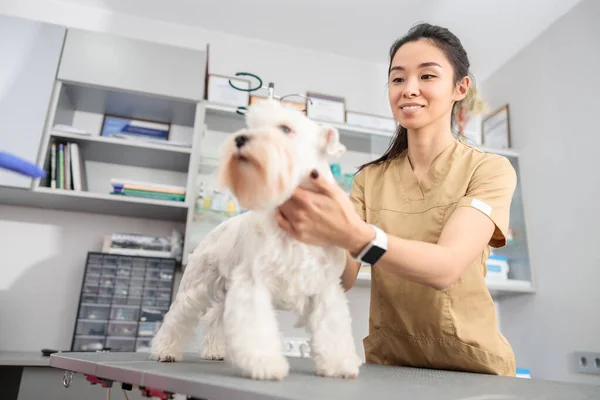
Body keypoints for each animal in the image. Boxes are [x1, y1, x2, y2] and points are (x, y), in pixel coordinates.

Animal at [152, 98, 364, 380]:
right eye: (251, 125)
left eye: (285, 128)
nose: (240, 139)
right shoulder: (253, 283)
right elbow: (256, 330)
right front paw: (265, 364)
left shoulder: (326, 288)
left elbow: (332, 328)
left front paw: (340, 364)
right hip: (195, 286)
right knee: (177, 317)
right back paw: (165, 350)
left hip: (225, 289)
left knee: (215, 319)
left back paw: (215, 350)